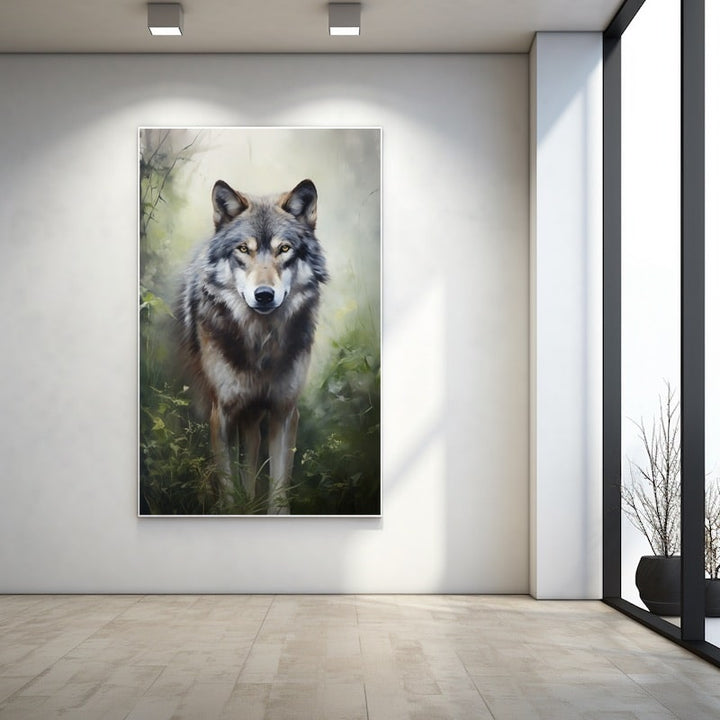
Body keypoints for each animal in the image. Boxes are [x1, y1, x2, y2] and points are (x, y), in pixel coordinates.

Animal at [177, 178, 328, 514]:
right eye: (244, 249)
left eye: (284, 249)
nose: (264, 295)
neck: (261, 344)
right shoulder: (221, 414)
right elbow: (228, 486)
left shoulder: (285, 412)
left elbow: (278, 488)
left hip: (254, 417)